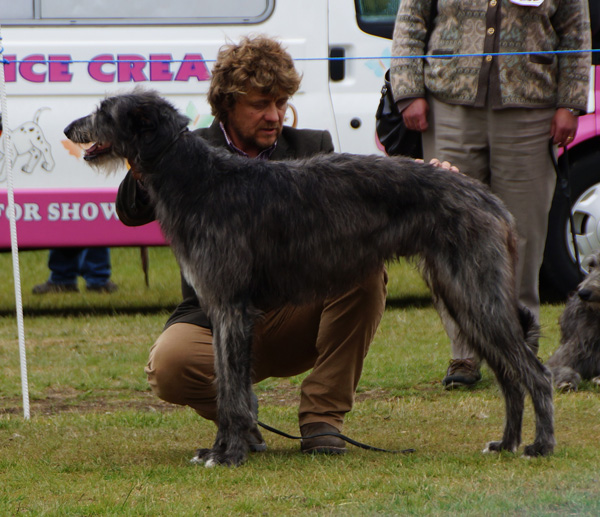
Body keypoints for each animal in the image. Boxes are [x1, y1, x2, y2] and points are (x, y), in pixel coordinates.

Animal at [63, 89, 556, 468]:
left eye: (105, 111)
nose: (69, 129)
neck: (198, 179)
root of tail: (490, 199)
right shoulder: (222, 309)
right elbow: (226, 385)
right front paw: (220, 449)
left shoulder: (232, 307)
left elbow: (233, 391)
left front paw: (231, 454)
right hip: (461, 293)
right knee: (509, 374)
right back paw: (507, 443)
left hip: (475, 289)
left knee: (534, 371)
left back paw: (539, 445)